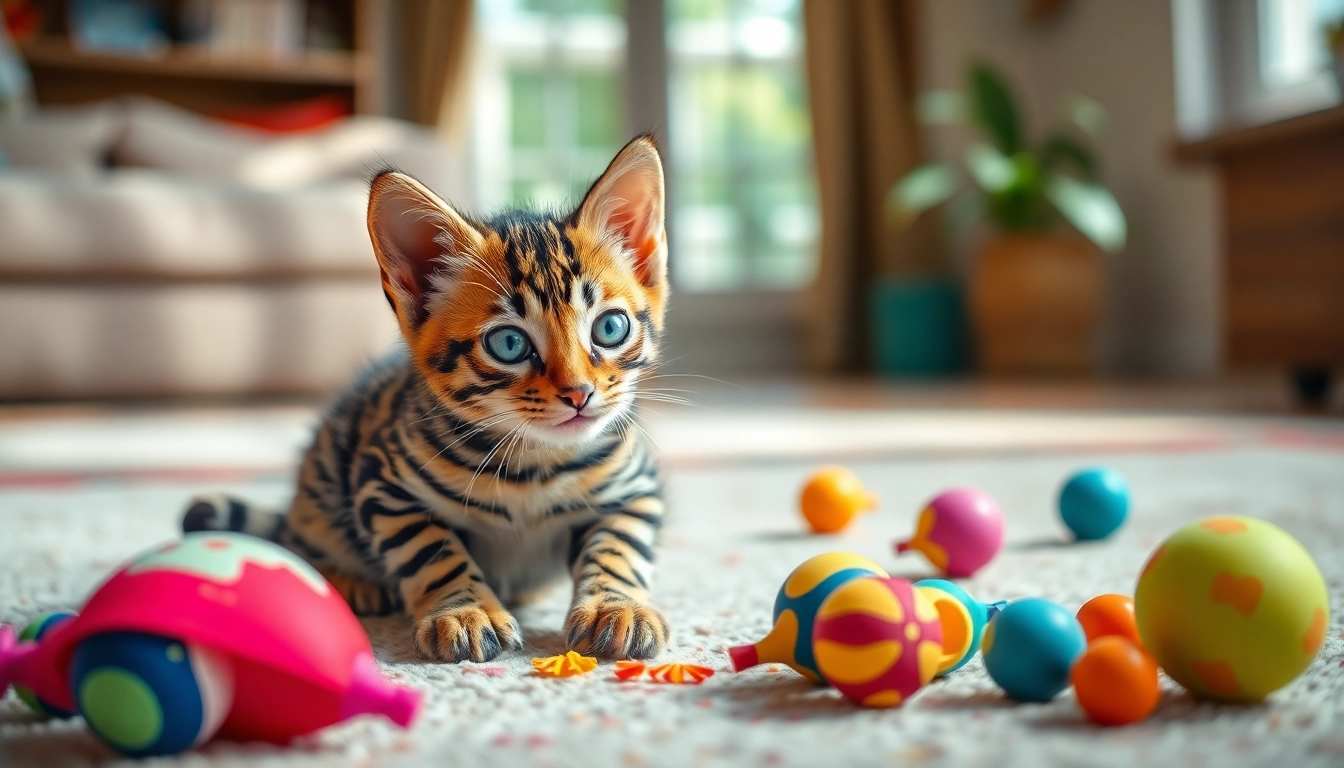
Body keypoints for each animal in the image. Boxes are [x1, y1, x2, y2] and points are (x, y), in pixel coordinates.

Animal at [181, 136, 672, 661]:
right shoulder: (383, 484)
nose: (579, 392)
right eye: (509, 343)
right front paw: (467, 610)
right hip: (324, 477)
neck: (534, 466)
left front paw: (616, 607)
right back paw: (347, 581)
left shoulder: (634, 489)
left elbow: (618, 547)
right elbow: (432, 549)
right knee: (298, 543)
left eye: (610, 327)